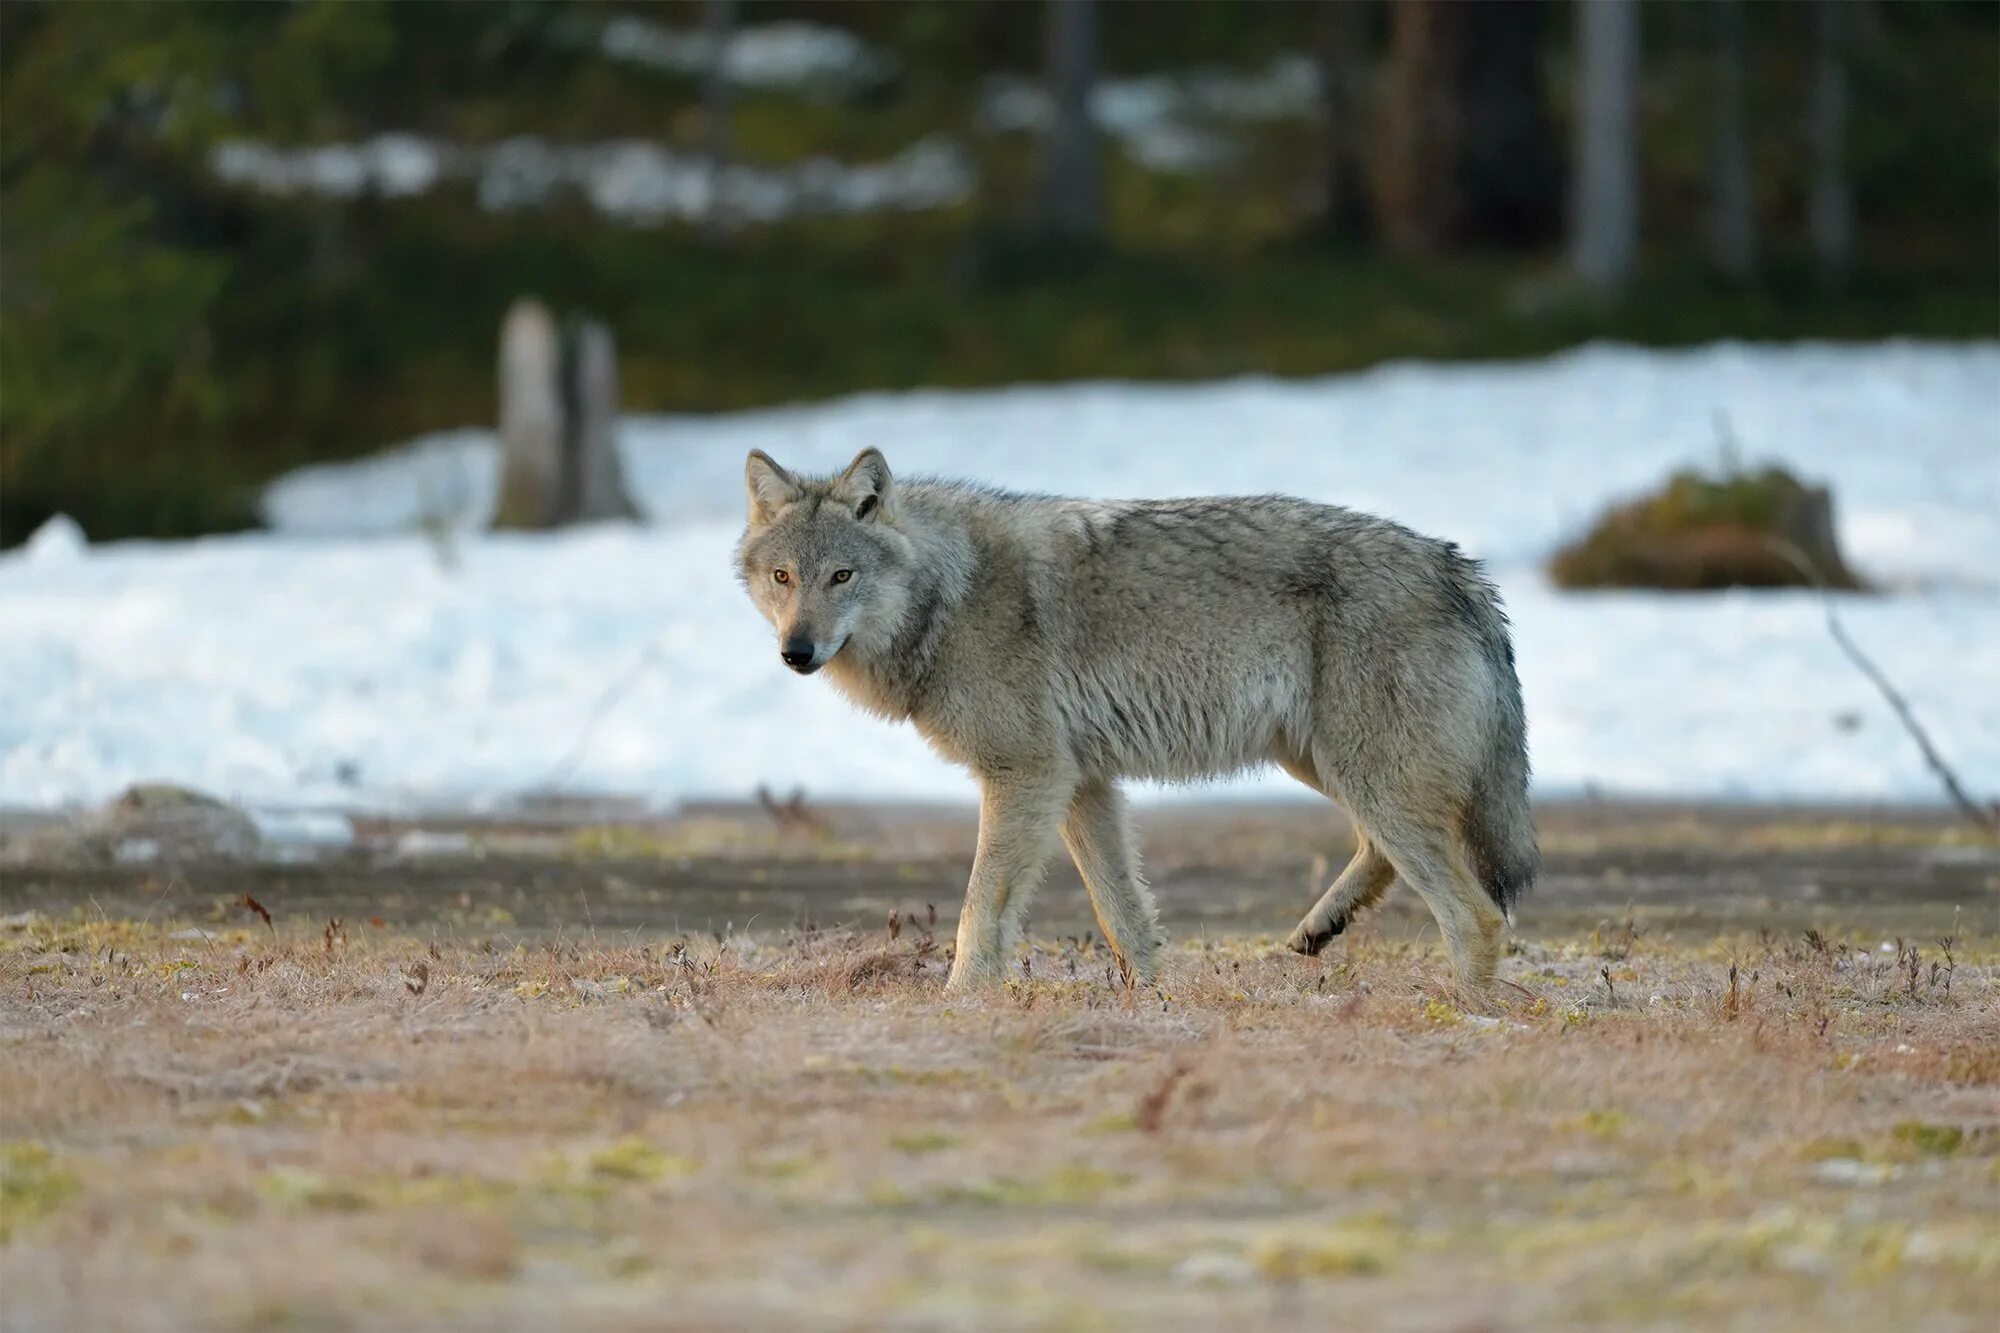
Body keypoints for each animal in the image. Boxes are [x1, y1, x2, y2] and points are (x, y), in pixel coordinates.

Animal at [744, 446, 1536, 996]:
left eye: (842, 575)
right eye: (783, 577)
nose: (796, 651)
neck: (949, 594)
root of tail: (1458, 567)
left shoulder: (1026, 775)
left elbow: (979, 908)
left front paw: (959, 1000)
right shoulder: (1081, 783)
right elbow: (1121, 915)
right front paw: (1151, 1002)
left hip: (1359, 772)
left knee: (1476, 914)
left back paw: (1465, 1014)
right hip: (1324, 762)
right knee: (1385, 851)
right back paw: (1320, 928)